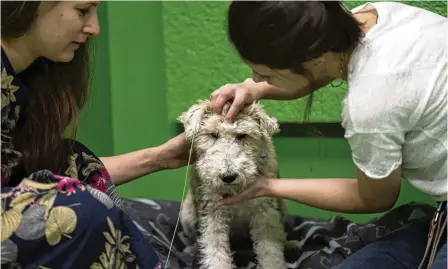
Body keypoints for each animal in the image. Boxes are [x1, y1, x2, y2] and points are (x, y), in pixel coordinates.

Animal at [178, 99, 288, 268]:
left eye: (242, 135)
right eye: (213, 134)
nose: (228, 176)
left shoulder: (265, 212)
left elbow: (270, 251)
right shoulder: (213, 212)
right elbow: (215, 250)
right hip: (187, 214)